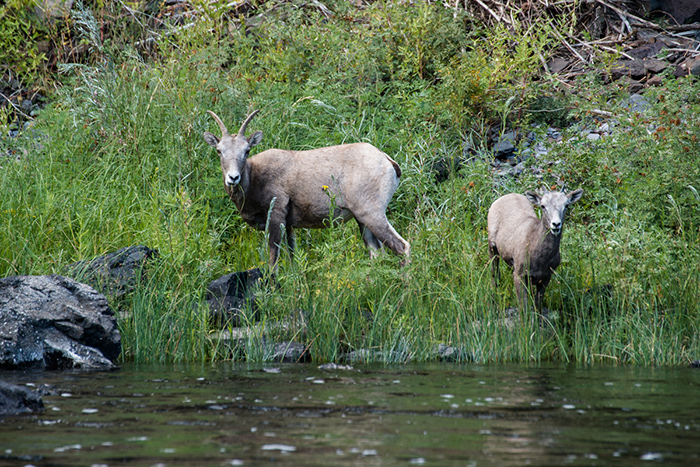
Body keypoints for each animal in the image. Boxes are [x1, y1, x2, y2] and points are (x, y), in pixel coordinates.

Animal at [202, 110, 410, 270]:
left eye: (246, 151)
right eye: (219, 151)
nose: (233, 178)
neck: (255, 178)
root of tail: (387, 160)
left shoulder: (276, 219)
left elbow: (273, 261)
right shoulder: (289, 227)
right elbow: (292, 258)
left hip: (372, 215)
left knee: (403, 248)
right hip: (363, 222)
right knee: (377, 255)